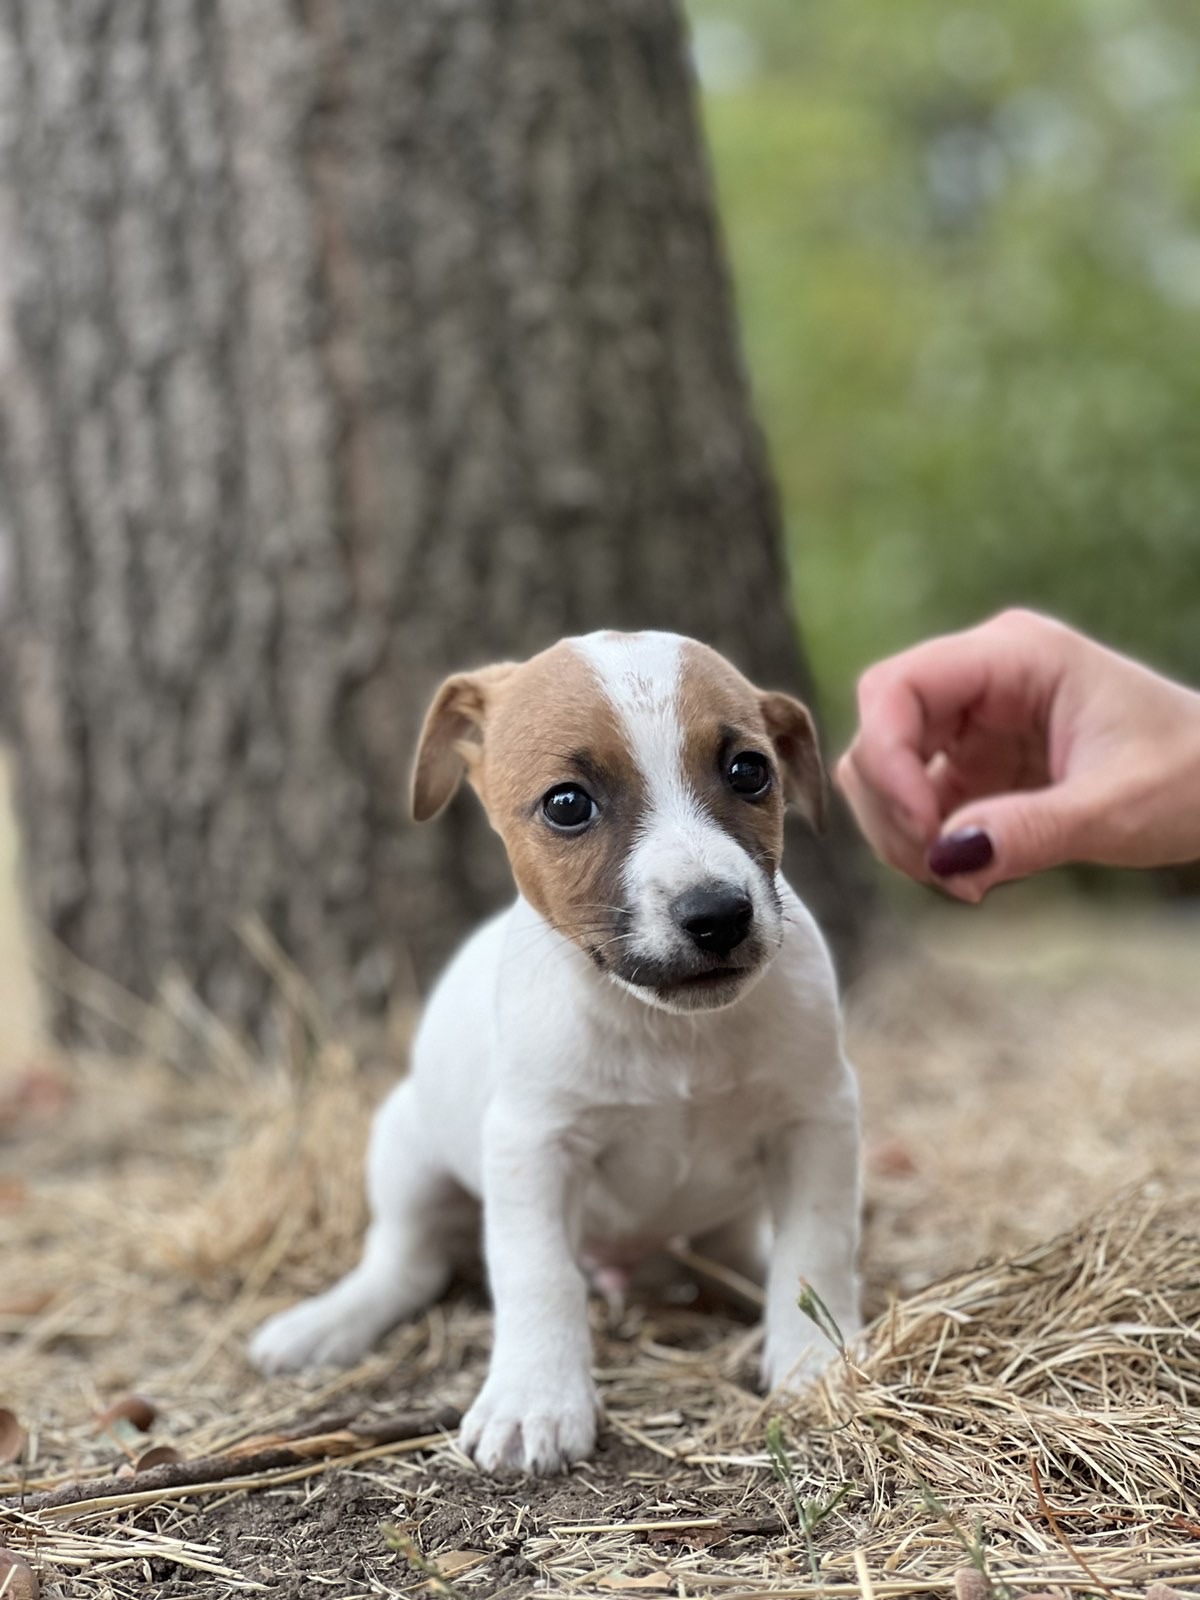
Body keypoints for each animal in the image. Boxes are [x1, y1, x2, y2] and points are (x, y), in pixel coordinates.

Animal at [251, 627, 864, 1472]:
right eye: (567, 804)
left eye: (750, 771)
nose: (718, 915)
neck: (667, 1031)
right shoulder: (533, 1147)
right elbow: (538, 1275)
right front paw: (534, 1400)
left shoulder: (816, 1121)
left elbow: (817, 1249)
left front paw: (817, 1359)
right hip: (406, 1151)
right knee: (405, 1261)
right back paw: (327, 1322)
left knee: (745, 1250)